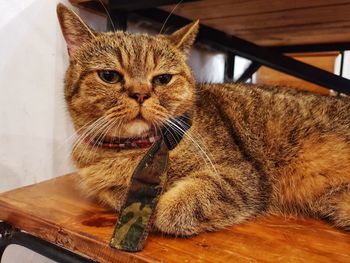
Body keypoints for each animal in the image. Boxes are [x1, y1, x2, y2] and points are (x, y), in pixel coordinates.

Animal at [57, 3, 350, 236]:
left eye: (163, 79)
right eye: (109, 76)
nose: (140, 94)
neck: (133, 152)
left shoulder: (241, 176)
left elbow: (173, 208)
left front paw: (159, 206)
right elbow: (114, 193)